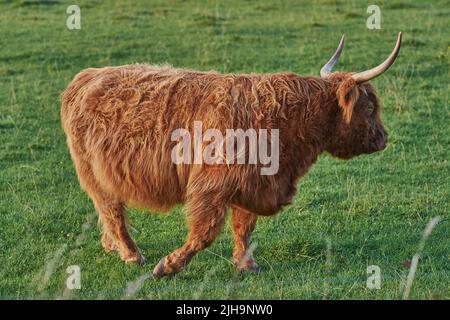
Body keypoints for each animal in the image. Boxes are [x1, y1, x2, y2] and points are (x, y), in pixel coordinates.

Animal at [61, 31, 402, 278]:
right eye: (370, 107)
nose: (383, 138)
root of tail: (87, 76)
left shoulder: (253, 183)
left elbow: (244, 227)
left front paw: (246, 264)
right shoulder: (212, 186)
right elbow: (205, 232)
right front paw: (168, 266)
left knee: (108, 211)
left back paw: (113, 247)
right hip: (93, 173)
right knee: (112, 210)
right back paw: (132, 254)